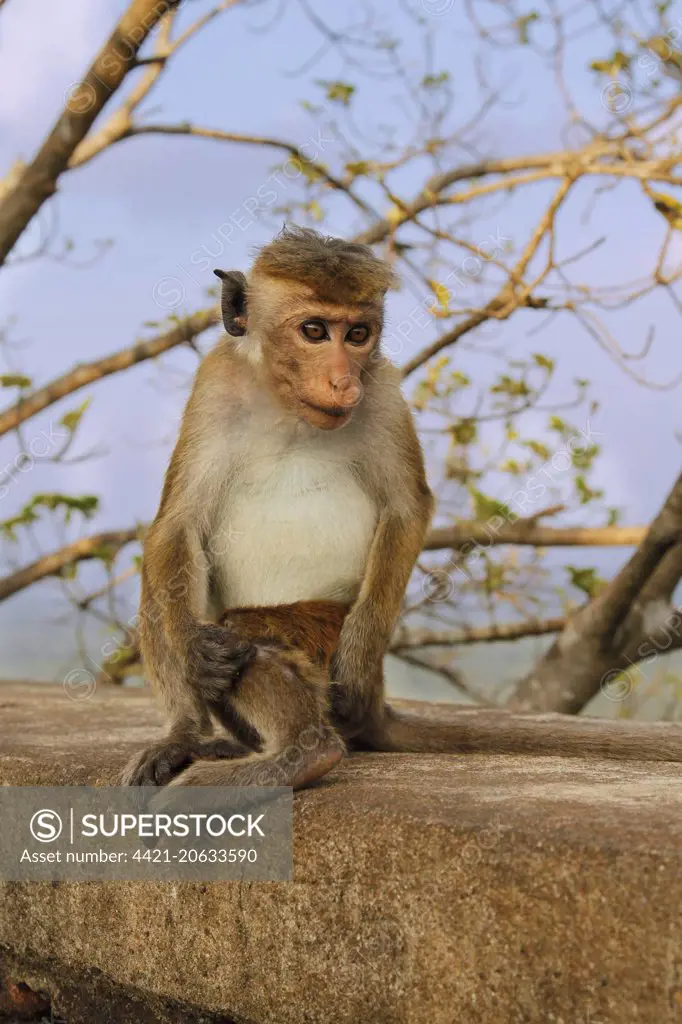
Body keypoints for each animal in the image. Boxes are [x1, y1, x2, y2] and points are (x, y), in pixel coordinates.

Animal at [120, 222, 679, 782]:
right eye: (315, 331)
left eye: (358, 335)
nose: (344, 381)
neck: (288, 408)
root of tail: (376, 704)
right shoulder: (215, 385)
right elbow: (178, 524)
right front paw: (192, 654)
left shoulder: (384, 390)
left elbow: (408, 507)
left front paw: (356, 654)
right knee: (168, 584)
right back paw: (188, 737)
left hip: (327, 637)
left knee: (247, 633)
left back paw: (304, 750)